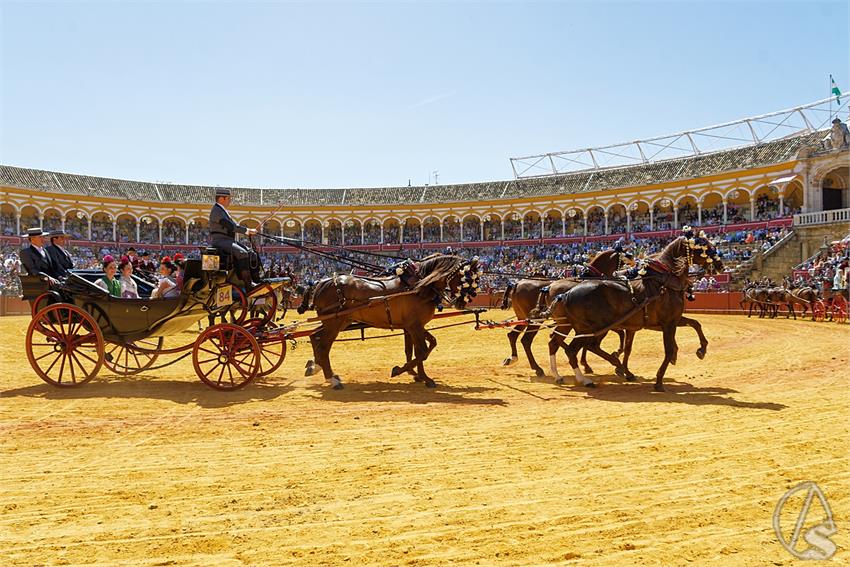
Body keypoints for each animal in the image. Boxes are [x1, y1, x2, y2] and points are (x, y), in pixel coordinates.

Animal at [300, 255, 474, 388]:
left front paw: (419, 375)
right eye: (466, 278)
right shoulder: (414, 326)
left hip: (339, 322)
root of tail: (321, 282)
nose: (462, 303)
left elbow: (424, 347)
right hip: (334, 322)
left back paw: (316, 367)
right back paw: (332, 379)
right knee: (323, 346)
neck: (419, 287)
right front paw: (403, 371)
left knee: (315, 337)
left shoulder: (413, 326)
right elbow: (422, 351)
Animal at [548, 235, 720, 390]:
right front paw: (658, 381)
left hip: (571, 326)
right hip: (588, 329)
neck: (664, 282)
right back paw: (586, 378)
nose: (719, 264)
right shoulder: (668, 322)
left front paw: (701, 349)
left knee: (558, 343)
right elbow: (668, 349)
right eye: (704, 246)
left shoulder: (667, 321)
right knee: (574, 349)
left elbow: (695, 324)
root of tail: (566, 294)